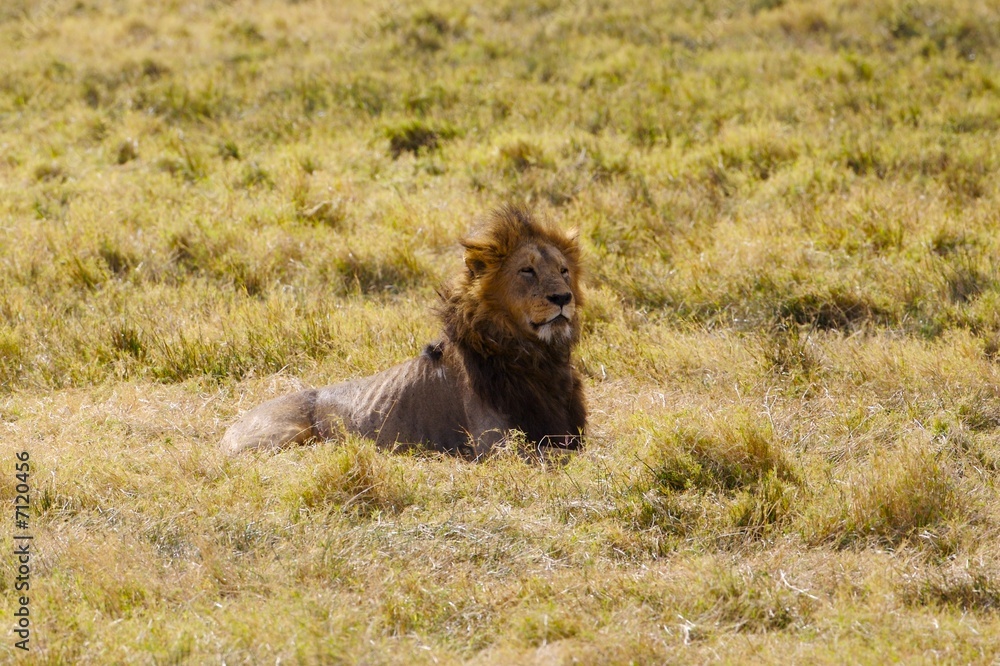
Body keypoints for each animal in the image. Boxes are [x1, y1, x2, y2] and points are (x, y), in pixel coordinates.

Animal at [220, 204, 586, 457]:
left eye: (563, 271)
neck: (537, 357)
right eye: (527, 271)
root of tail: (231, 426)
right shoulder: (497, 445)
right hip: (281, 436)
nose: (562, 298)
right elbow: (568, 457)